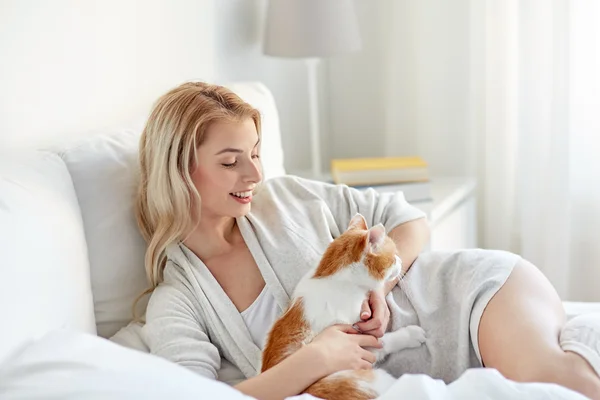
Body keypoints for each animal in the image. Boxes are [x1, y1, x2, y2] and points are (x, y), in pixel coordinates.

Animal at [260, 214, 424, 398]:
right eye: (394, 256)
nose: (400, 260)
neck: (334, 278)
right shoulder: (355, 340)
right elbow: (382, 342)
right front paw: (411, 335)